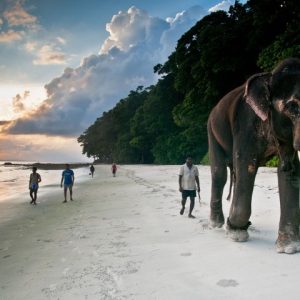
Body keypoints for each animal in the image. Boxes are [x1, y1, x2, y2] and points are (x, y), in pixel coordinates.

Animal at [207, 58, 298, 253]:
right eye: (292, 107)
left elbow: (289, 171)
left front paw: (289, 248)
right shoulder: (245, 124)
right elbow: (247, 163)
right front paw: (236, 233)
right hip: (211, 129)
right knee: (220, 173)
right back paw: (216, 225)